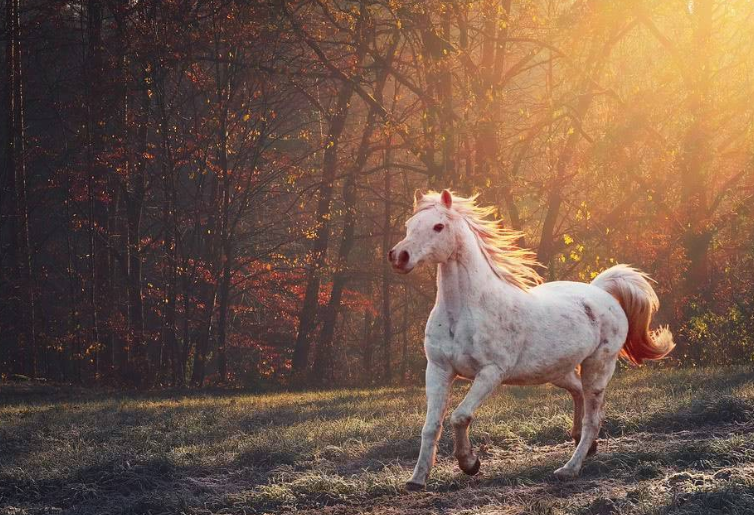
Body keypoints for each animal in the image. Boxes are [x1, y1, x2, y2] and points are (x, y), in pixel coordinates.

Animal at [388, 190, 668, 492]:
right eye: (409, 225)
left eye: (438, 226)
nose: (399, 256)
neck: (464, 311)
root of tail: (600, 292)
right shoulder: (438, 369)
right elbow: (431, 427)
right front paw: (417, 479)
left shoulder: (491, 372)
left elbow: (460, 416)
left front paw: (470, 463)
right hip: (556, 371)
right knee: (578, 393)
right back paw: (583, 443)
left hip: (598, 367)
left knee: (593, 418)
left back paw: (569, 468)